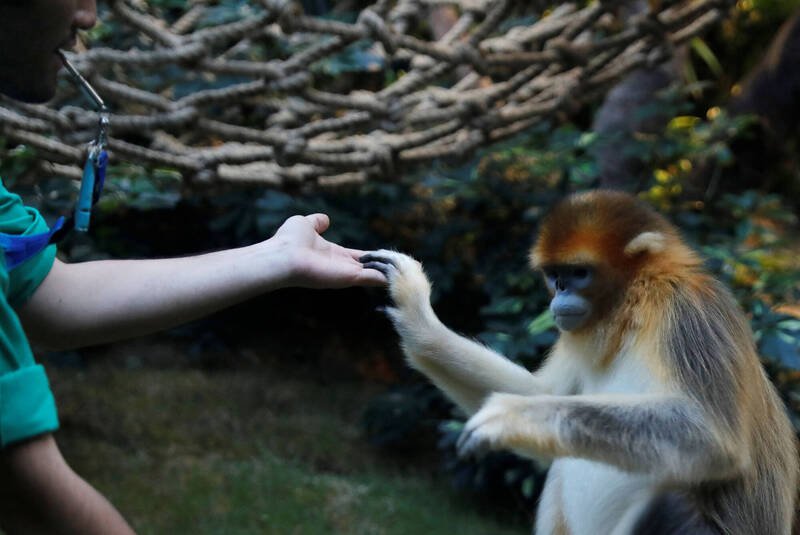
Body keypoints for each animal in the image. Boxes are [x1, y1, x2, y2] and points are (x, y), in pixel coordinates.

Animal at [362, 192, 800, 535]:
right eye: (555, 275)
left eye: (579, 273)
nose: (559, 295)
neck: (633, 311)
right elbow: (543, 392)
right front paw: (417, 315)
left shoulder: (685, 314)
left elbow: (712, 438)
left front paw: (513, 417)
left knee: (670, 499)